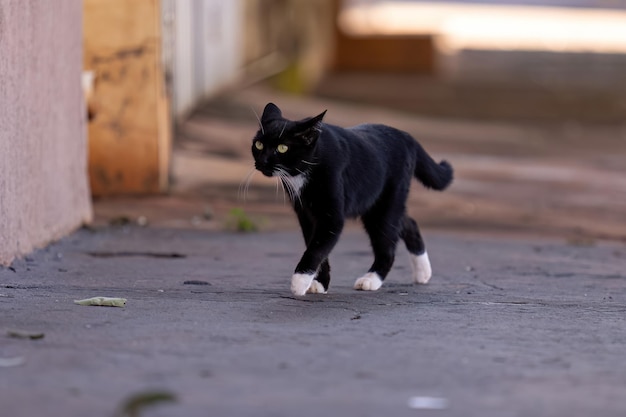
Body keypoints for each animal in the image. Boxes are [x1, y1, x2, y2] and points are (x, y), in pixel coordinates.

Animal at [251, 102, 450, 294]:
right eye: (259, 144)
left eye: (282, 148)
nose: (262, 161)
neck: (308, 166)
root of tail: (406, 136)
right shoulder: (306, 213)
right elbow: (315, 245)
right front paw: (319, 283)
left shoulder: (331, 217)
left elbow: (317, 249)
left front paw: (299, 282)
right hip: (379, 204)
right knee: (408, 223)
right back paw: (423, 272)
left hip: (385, 204)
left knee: (388, 245)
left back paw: (371, 280)